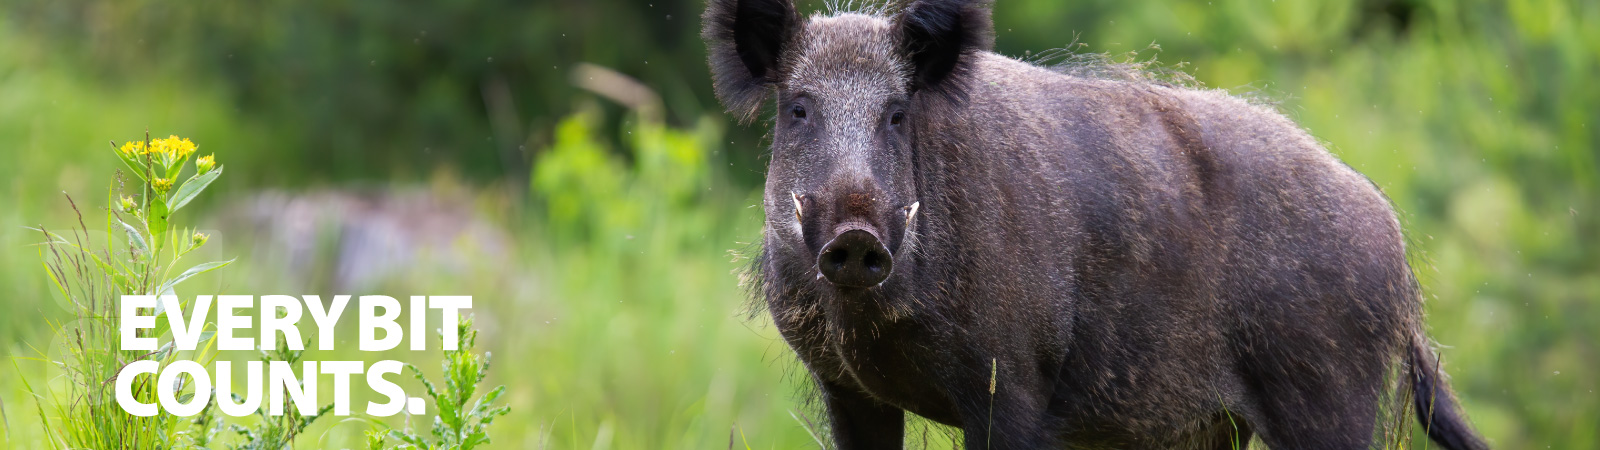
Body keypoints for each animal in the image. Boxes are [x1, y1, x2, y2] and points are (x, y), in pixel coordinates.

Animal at [700, 0, 1484, 448]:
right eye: (798, 109)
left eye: (896, 113)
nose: (855, 236)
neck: (873, 330)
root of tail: (1394, 242)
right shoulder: (848, 391)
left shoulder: (1012, 382)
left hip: (1328, 391)